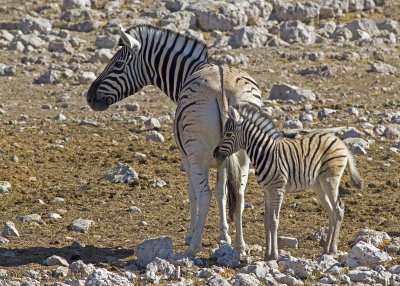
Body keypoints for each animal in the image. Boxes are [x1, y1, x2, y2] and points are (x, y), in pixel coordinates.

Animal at [86, 24, 262, 256]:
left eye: (118, 64)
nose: (88, 97)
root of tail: (223, 90)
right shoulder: (224, 155)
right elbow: (222, 192)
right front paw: (224, 236)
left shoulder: (184, 155)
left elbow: (193, 193)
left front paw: (191, 233)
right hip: (243, 152)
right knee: (239, 194)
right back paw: (241, 247)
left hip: (197, 154)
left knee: (203, 194)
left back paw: (193, 247)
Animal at [214, 104, 364, 260]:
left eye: (228, 134)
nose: (215, 154)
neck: (265, 154)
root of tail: (339, 141)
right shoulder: (266, 191)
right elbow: (267, 221)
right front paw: (267, 254)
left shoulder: (277, 190)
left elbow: (274, 221)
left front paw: (274, 254)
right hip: (318, 184)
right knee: (331, 211)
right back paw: (326, 250)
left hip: (330, 180)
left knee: (339, 209)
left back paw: (333, 250)